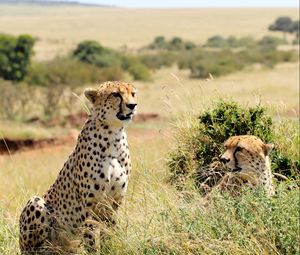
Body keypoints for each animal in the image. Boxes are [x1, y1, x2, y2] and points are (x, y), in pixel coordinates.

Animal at [19, 81, 138, 253]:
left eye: (133, 93)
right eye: (115, 94)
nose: (132, 105)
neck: (113, 135)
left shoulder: (113, 204)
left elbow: (109, 235)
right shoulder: (89, 207)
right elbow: (91, 239)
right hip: (36, 203)